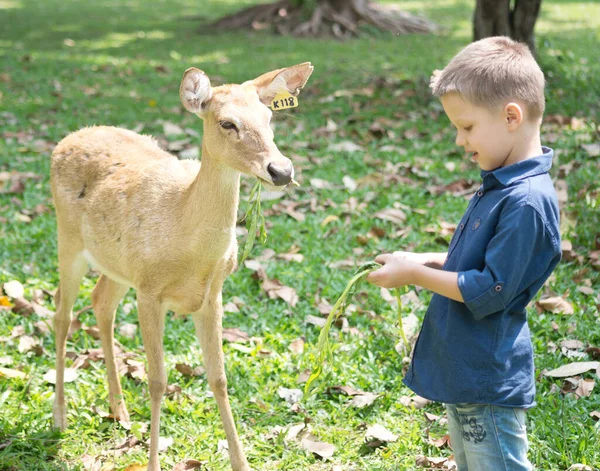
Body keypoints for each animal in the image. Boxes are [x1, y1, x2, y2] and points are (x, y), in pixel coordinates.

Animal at [50, 63, 314, 471]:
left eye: (270, 117)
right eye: (227, 123)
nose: (282, 170)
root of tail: (67, 139)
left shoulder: (212, 294)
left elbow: (219, 378)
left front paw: (241, 462)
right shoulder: (149, 291)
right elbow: (158, 381)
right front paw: (153, 463)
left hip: (117, 265)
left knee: (101, 303)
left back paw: (119, 411)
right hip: (68, 238)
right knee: (62, 314)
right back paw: (60, 418)